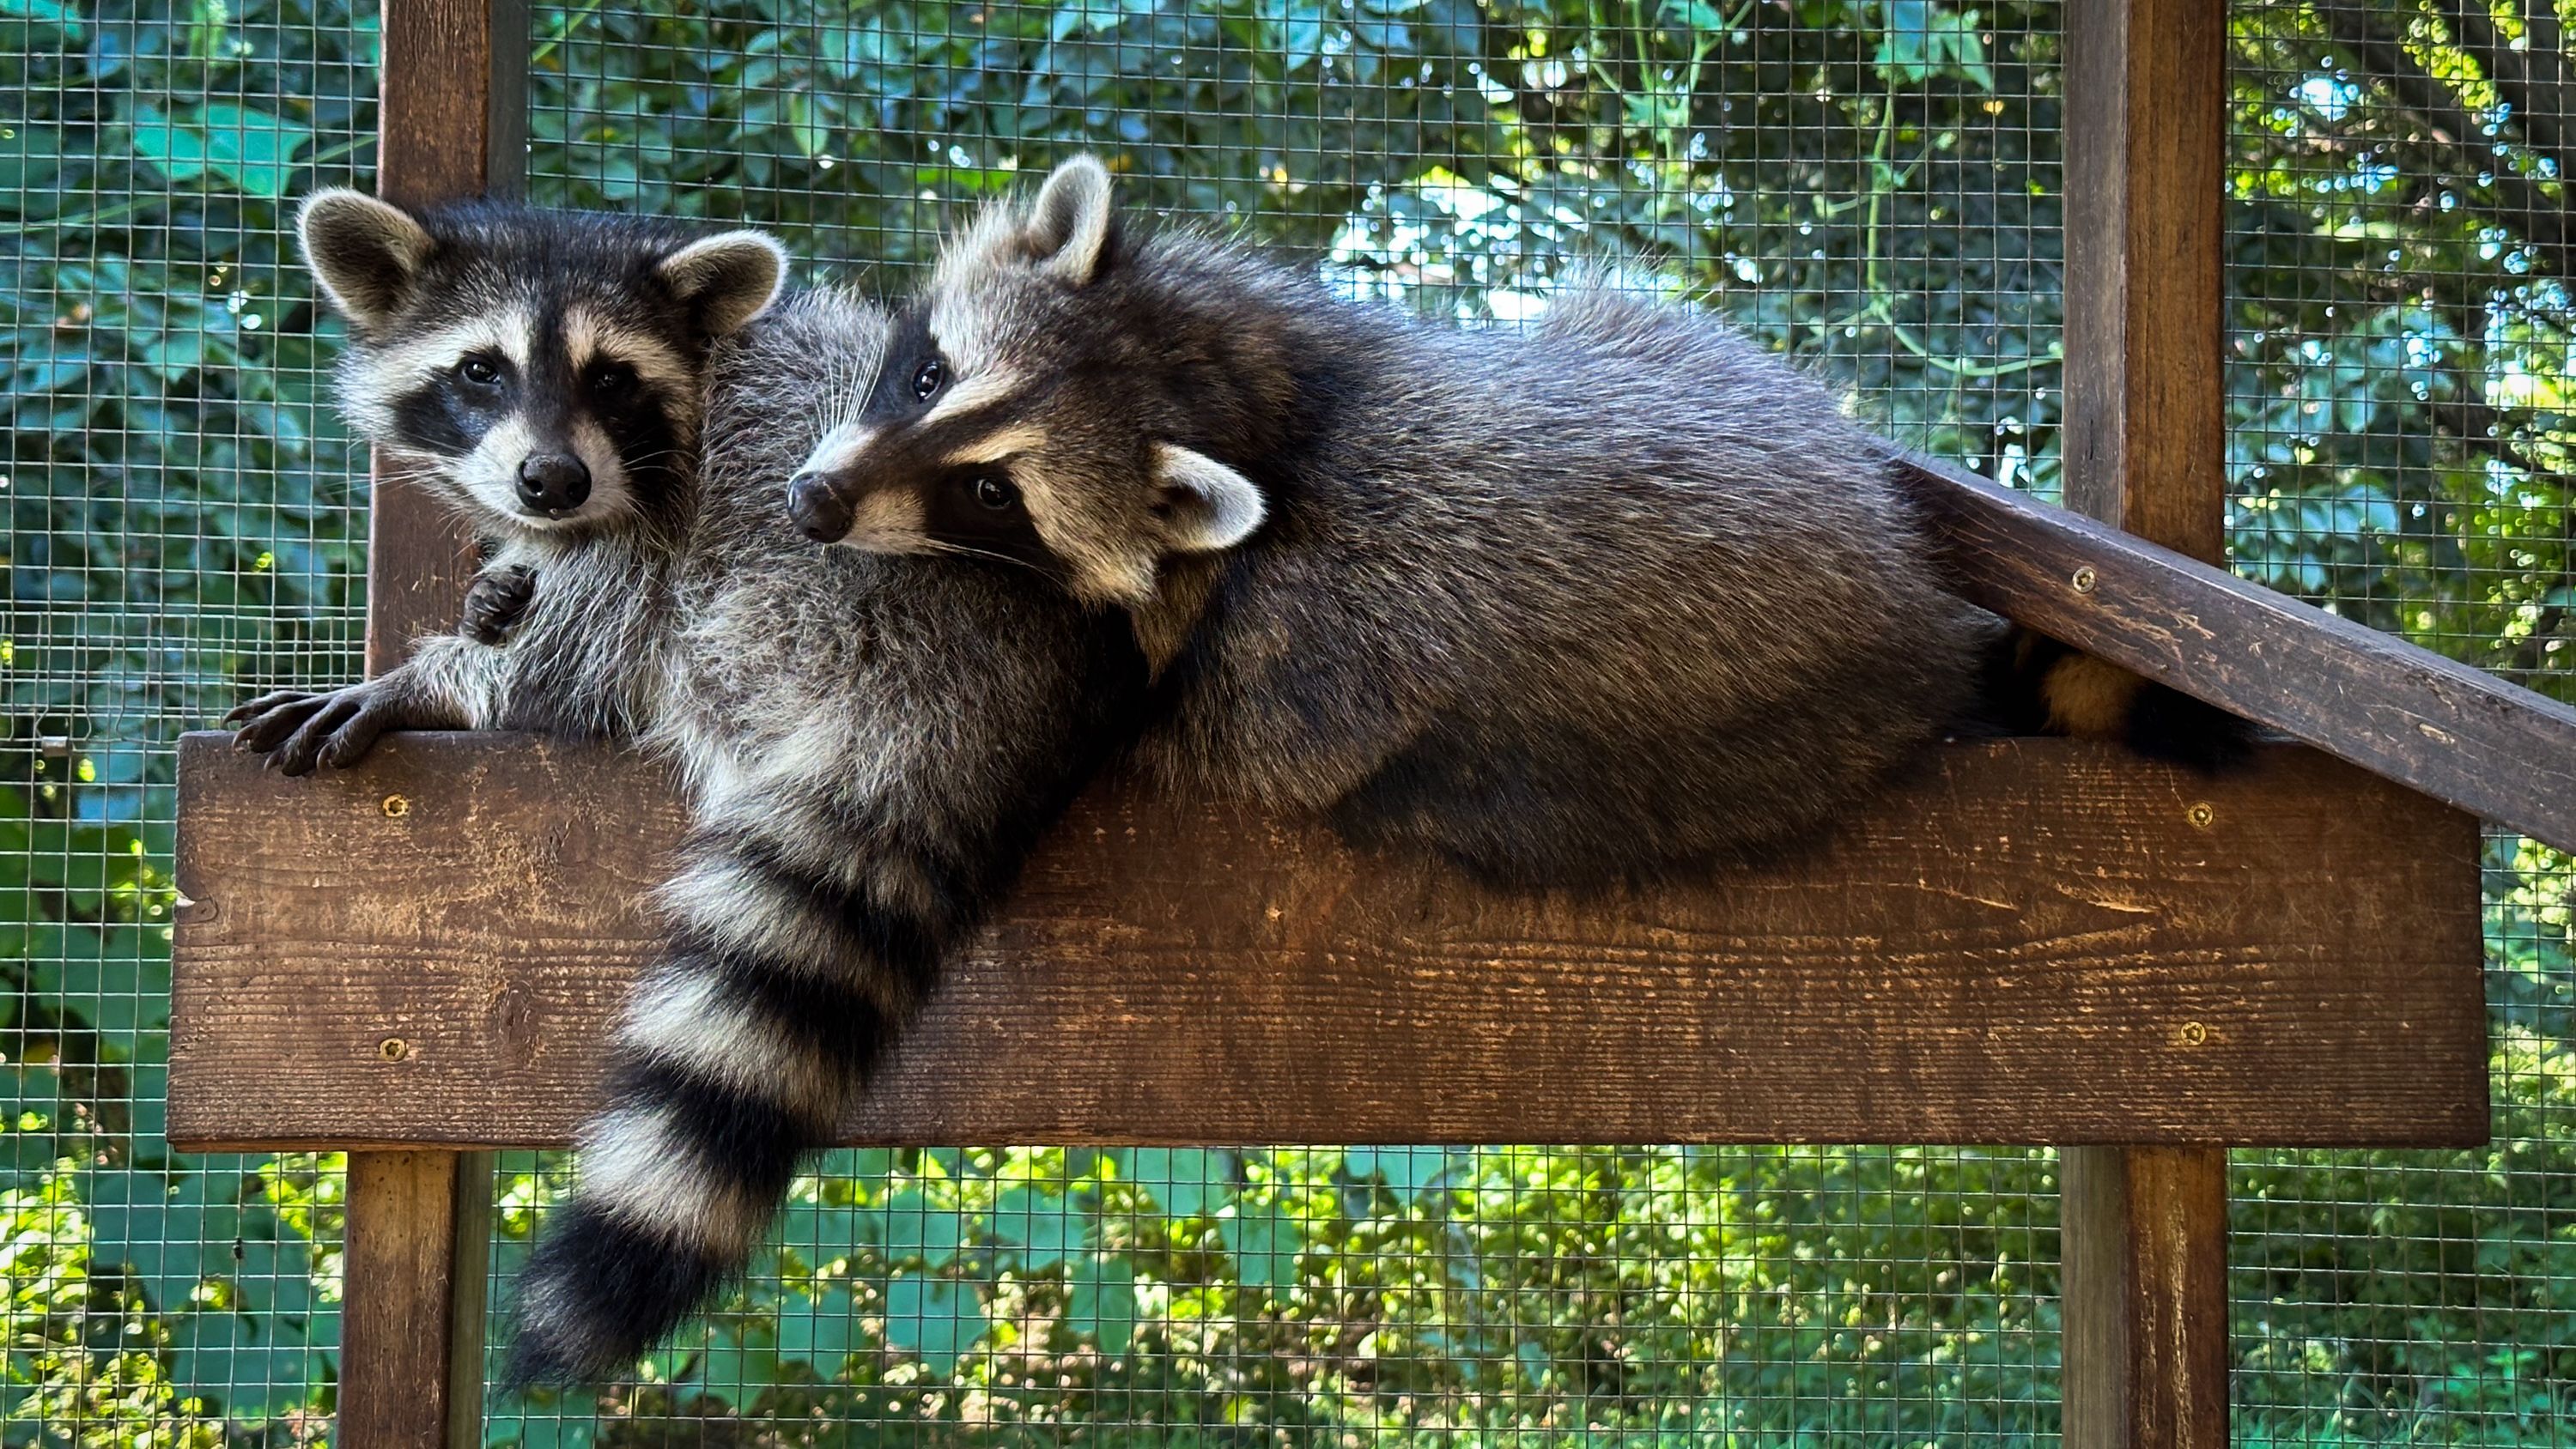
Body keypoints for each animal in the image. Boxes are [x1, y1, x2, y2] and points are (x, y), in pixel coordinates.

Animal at [227, 190, 788, 772]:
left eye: (611, 378)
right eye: (480, 370)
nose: (555, 479)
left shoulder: (683, 541)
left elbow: (580, 666)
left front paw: (418, 684)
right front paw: (488, 599)